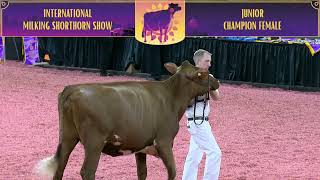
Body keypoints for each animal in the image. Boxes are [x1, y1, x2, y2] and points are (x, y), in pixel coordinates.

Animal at [35, 60, 220, 180]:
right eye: (203, 74)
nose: (217, 81)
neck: (171, 97)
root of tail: (72, 89)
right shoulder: (164, 141)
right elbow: (172, 172)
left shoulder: (141, 147)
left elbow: (142, 173)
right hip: (94, 142)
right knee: (87, 171)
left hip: (67, 136)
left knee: (60, 167)